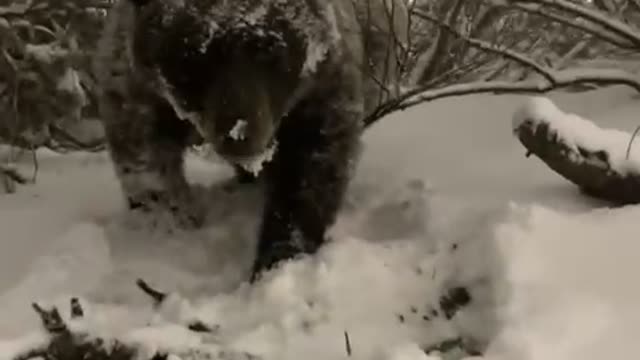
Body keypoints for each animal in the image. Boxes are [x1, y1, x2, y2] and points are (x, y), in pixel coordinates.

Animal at [91, 0, 404, 282]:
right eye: (192, 56)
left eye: (272, 50)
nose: (238, 134)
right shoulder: (141, 91)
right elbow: (145, 160)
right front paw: (170, 224)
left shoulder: (320, 89)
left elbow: (310, 171)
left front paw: (277, 258)